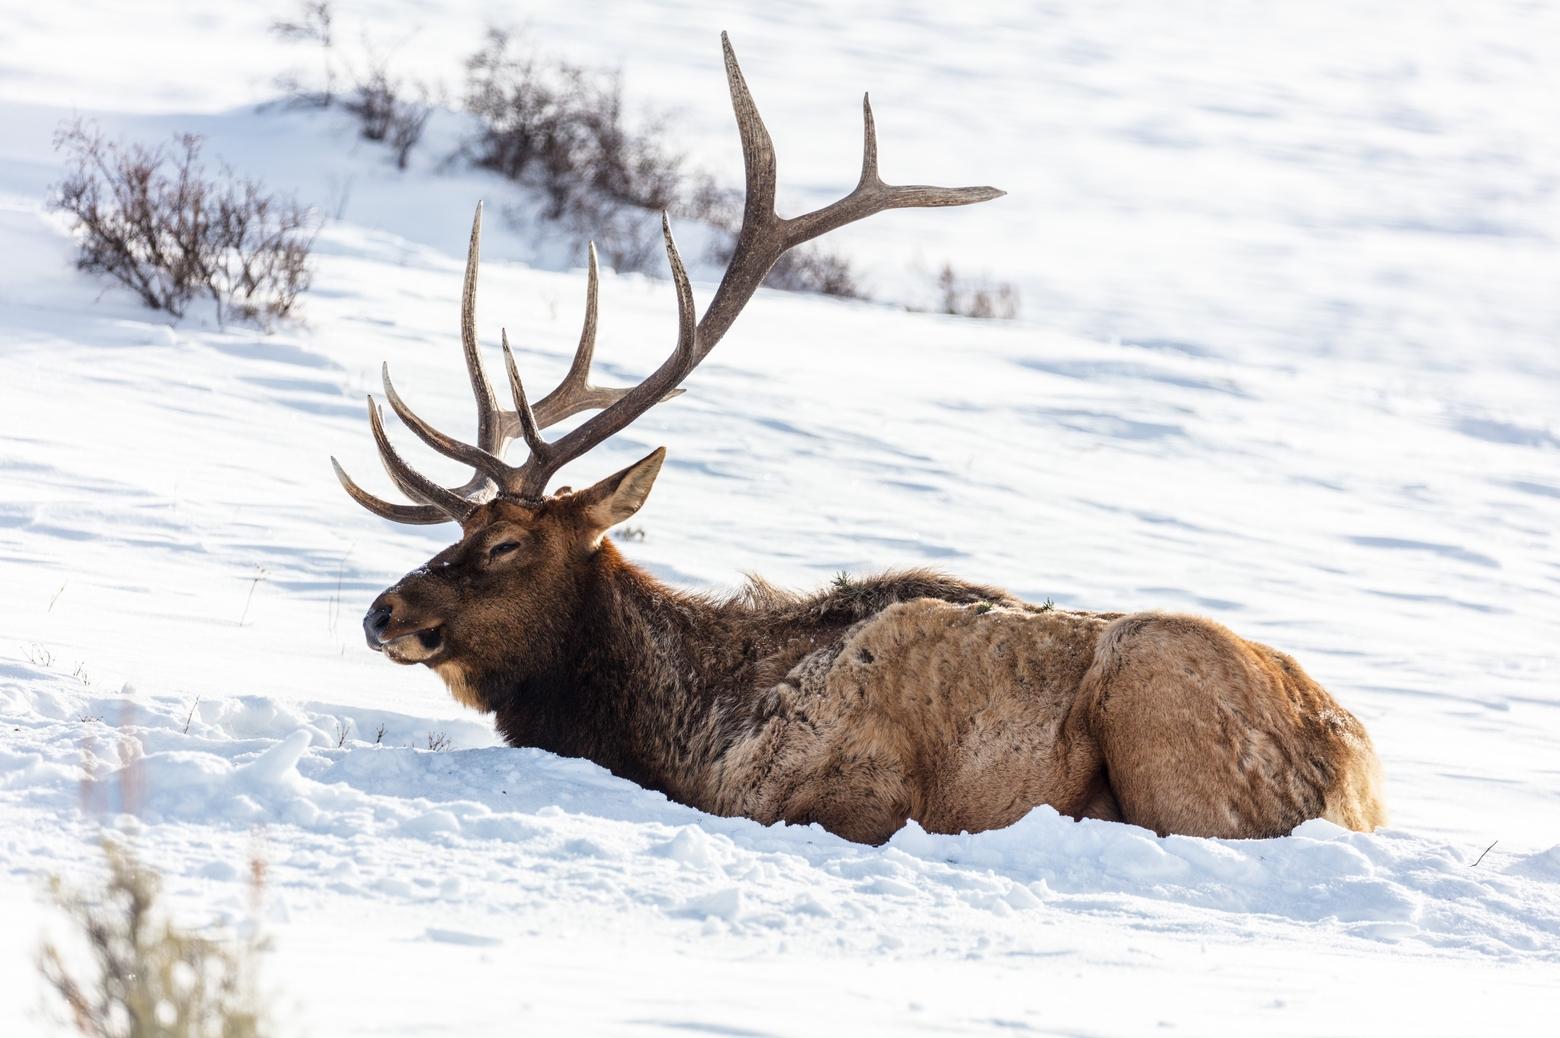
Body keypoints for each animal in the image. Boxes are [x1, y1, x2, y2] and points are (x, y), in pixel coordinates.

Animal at [335, 34, 1385, 842]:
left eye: (506, 544)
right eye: (456, 532)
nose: (381, 610)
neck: (691, 726)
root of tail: (1351, 764)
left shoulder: (851, 793)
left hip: (1157, 701)